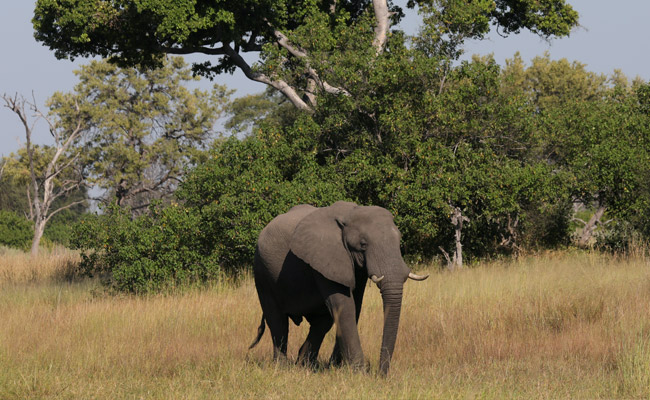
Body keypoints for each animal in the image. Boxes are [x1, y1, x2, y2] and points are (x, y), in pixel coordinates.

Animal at [248, 201, 428, 375]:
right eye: (363, 244)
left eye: (399, 240)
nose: (381, 375)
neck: (351, 213)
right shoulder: (326, 257)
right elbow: (345, 306)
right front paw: (359, 373)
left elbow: (355, 305)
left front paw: (337, 368)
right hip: (262, 272)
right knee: (277, 320)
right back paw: (282, 367)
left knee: (322, 323)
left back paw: (305, 365)